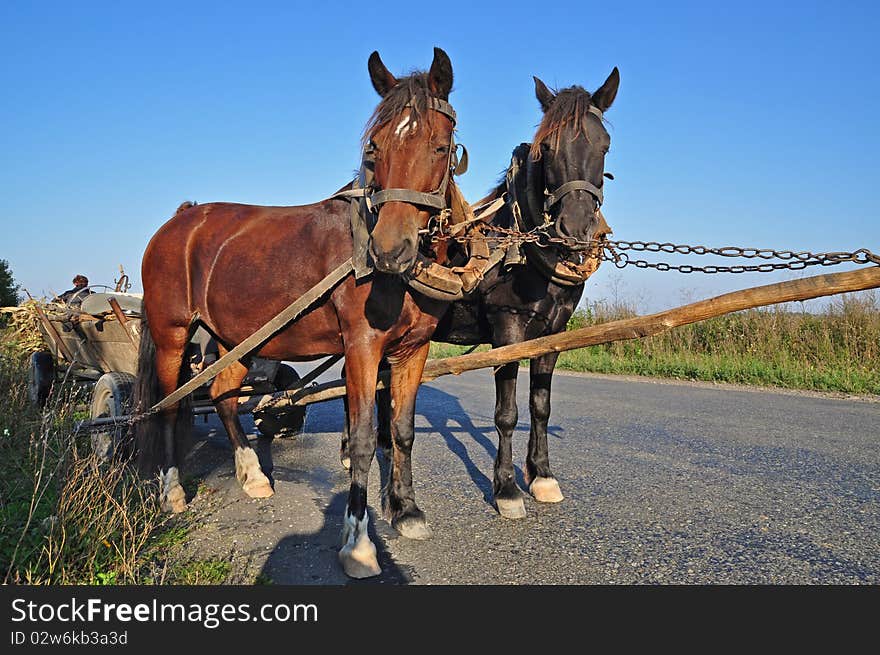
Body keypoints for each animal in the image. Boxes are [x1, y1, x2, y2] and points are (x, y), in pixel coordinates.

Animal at [134, 47, 460, 580]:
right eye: (374, 149)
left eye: (439, 146)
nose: (390, 251)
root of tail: (181, 220)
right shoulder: (362, 347)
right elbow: (364, 437)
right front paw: (358, 544)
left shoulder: (414, 350)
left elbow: (403, 431)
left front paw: (408, 512)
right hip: (173, 333)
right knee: (170, 405)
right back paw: (172, 490)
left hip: (236, 340)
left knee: (223, 396)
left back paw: (251, 474)